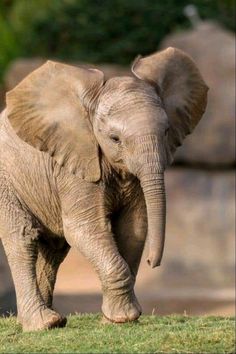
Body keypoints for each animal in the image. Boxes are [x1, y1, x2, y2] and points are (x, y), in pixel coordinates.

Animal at [0, 46, 206, 330]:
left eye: (166, 132)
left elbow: (134, 227)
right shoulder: (74, 166)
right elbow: (84, 228)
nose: (153, 262)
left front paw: (113, 320)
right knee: (23, 238)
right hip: (6, 182)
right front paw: (124, 317)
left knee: (53, 250)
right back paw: (44, 324)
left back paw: (51, 321)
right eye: (115, 139)